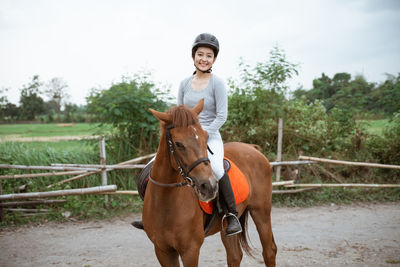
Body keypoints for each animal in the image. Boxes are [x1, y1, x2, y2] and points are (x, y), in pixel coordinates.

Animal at [142, 99, 276, 266]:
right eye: (178, 144)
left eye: (205, 137)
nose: (210, 186)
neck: (165, 202)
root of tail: (252, 148)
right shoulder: (162, 250)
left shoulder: (190, 251)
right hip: (227, 226)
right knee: (235, 256)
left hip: (261, 211)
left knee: (269, 251)